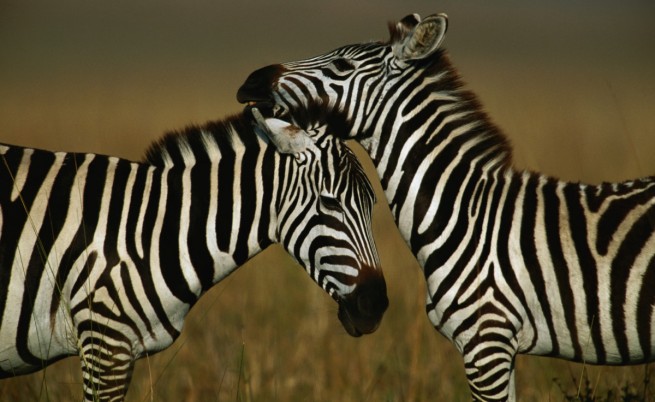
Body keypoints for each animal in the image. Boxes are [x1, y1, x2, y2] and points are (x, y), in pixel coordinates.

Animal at [0, 109, 388, 401]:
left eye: (373, 205)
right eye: (330, 203)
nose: (375, 306)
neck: (153, 229)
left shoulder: (119, 349)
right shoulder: (104, 340)